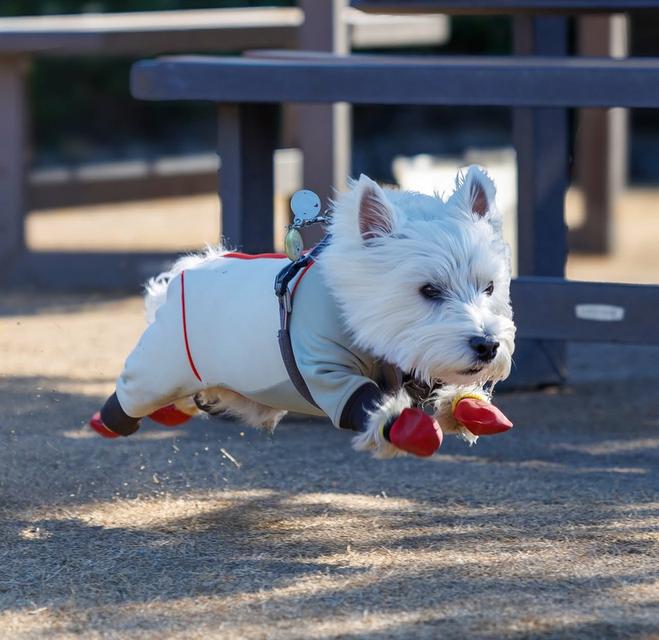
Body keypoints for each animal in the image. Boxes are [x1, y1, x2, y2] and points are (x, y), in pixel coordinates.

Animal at [91, 165, 516, 456]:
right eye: (428, 290)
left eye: (489, 287)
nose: (487, 345)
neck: (353, 311)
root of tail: (186, 273)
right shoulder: (323, 368)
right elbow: (364, 402)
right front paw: (403, 427)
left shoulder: (418, 363)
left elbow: (447, 387)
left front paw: (470, 408)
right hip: (158, 368)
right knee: (129, 397)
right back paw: (106, 421)